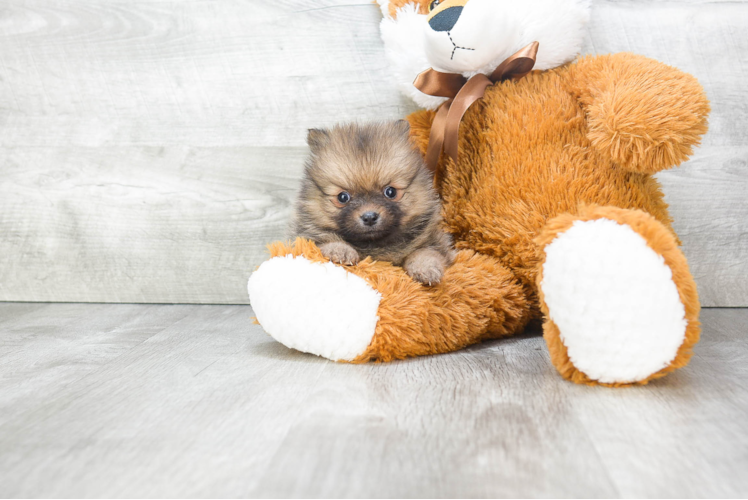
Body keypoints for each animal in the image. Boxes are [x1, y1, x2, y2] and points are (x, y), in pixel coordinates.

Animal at [292, 120, 456, 286]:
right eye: (343, 197)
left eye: (391, 192)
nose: (369, 217)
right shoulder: (307, 237)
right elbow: (326, 241)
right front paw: (340, 251)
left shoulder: (435, 241)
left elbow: (425, 252)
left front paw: (425, 269)